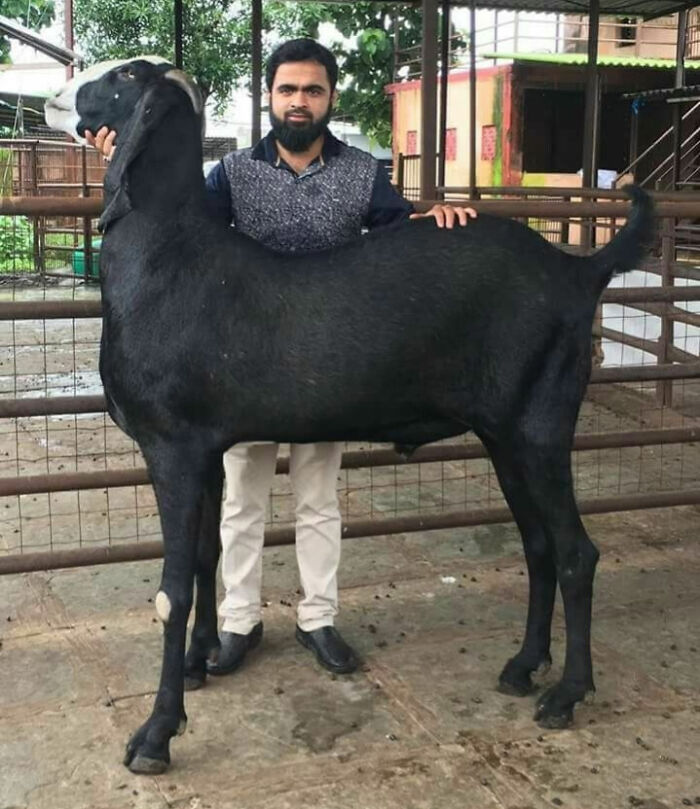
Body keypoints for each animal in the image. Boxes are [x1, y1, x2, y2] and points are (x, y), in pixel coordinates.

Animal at [45, 58, 654, 775]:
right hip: (505, 433)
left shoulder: (171, 446)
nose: (57, 95)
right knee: (539, 546)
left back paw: (566, 693)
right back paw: (524, 665)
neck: (169, 256)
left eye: (125, 77)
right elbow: (206, 554)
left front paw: (156, 733)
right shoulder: (208, 447)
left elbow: (171, 591)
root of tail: (577, 272)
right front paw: (201, 660)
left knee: (576, 553)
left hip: (542, 426)